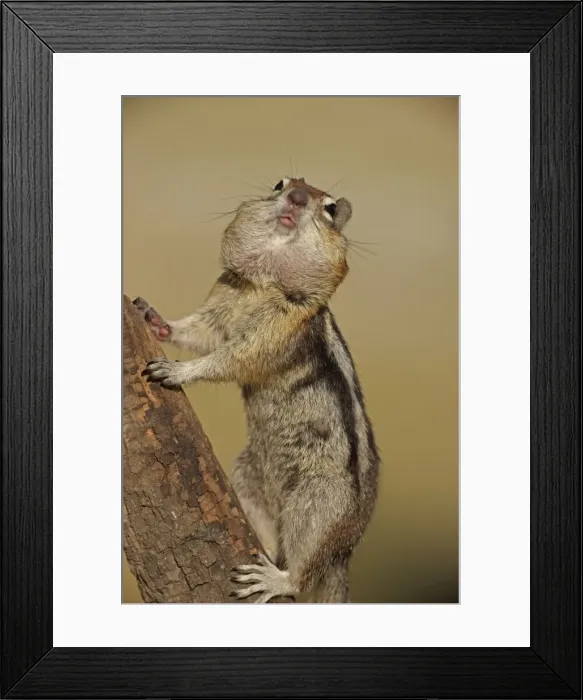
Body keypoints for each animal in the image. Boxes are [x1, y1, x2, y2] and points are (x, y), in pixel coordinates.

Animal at [133, 176, 380, 603]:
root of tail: (343, 553)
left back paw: (276, 578)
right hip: (249, 478)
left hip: (318, 505)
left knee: (303, 567)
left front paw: (179, 370)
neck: (262, 284)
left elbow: (231, 357)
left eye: (330, 208)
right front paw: (156, 320)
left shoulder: (277, 329)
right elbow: (199, 332)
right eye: (280, 183)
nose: (297, 197)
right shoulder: (221, 302)